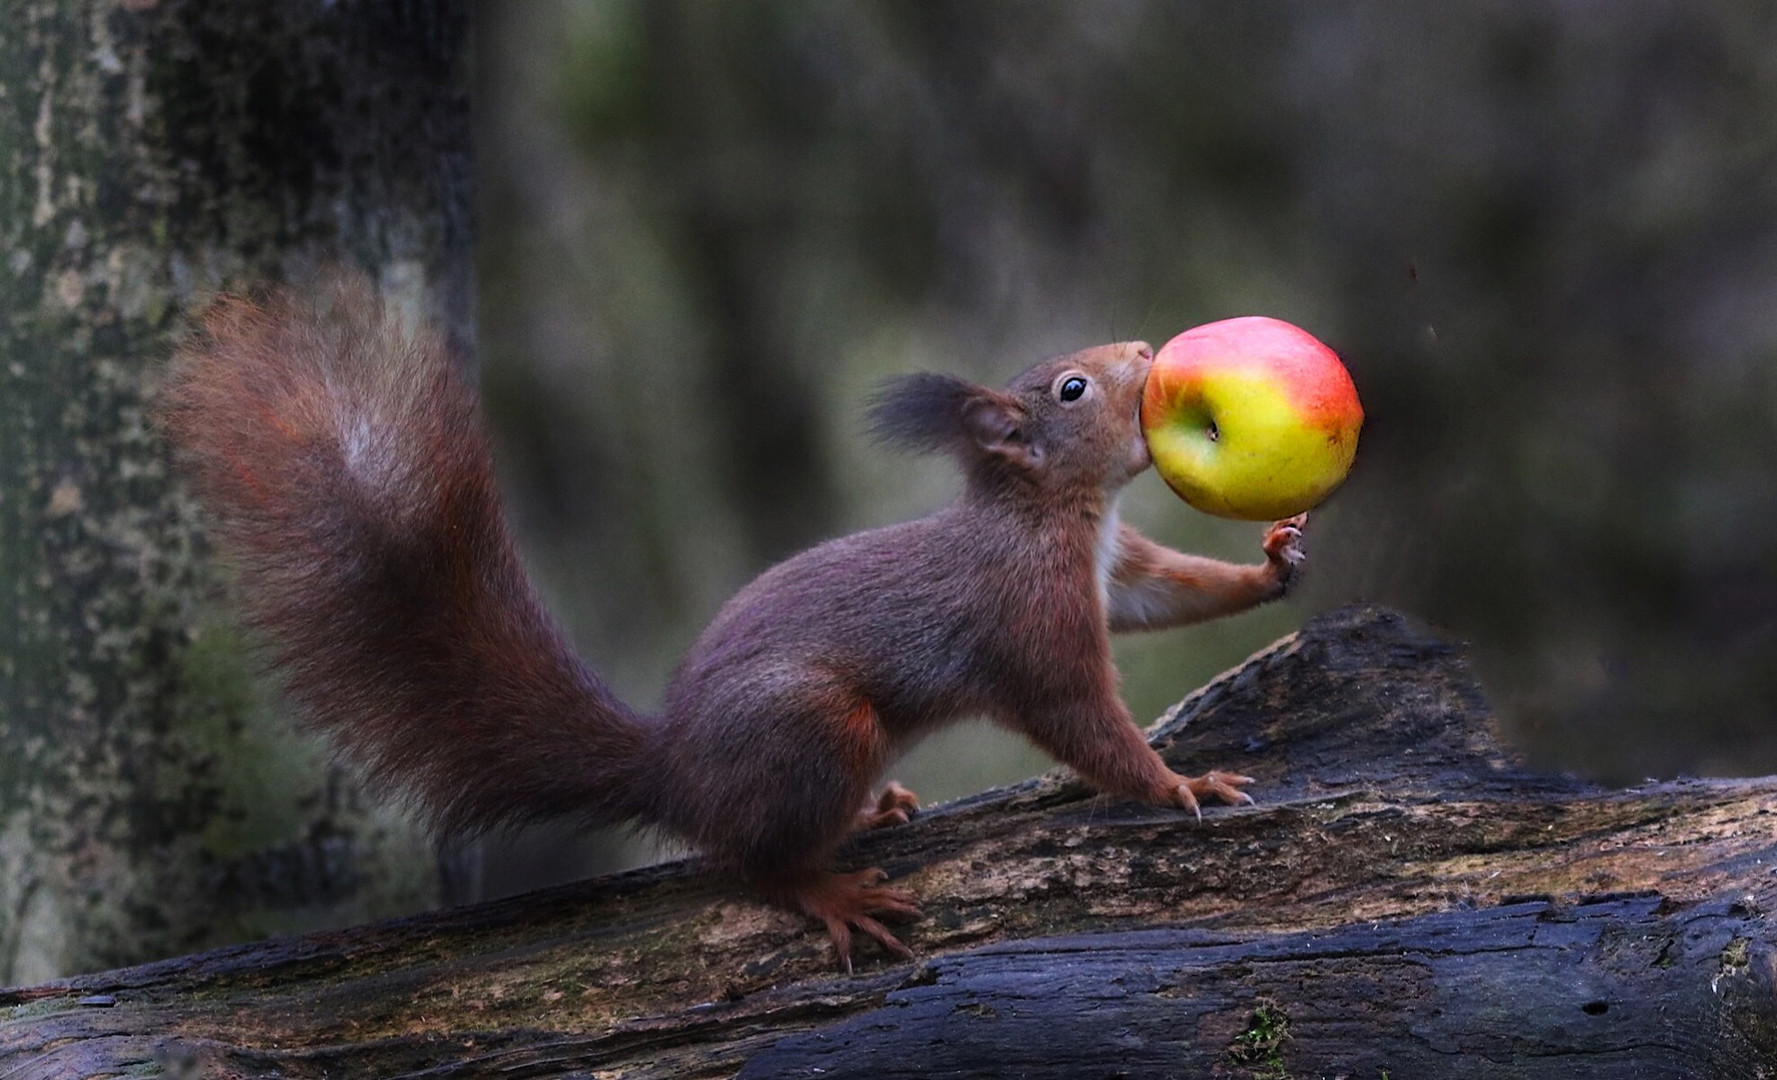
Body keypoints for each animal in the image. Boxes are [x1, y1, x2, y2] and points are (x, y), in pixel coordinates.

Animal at [163, 278, 1307, 973]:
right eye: (1072, 388)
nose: (1149, 348)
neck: (1052, 517)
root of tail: (671, 771)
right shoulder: (1029, 623)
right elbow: (1083, 723)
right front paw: (1179, 783)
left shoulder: (1113, 570)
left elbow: (1168, 590)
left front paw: (1271, 562)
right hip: (813, 723)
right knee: (752, 863)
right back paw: (831, 891)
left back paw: (876, 811)